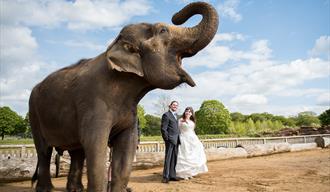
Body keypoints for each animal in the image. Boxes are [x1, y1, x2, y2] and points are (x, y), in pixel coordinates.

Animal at [29, 1, 219, 192]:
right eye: (163, 30)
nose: (176, 16)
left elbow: (127, 148)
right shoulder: (93, 103)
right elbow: (95, 146)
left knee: (77, 151)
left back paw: (75, 189)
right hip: (34, 113)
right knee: (44, 151)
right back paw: (46, 189)